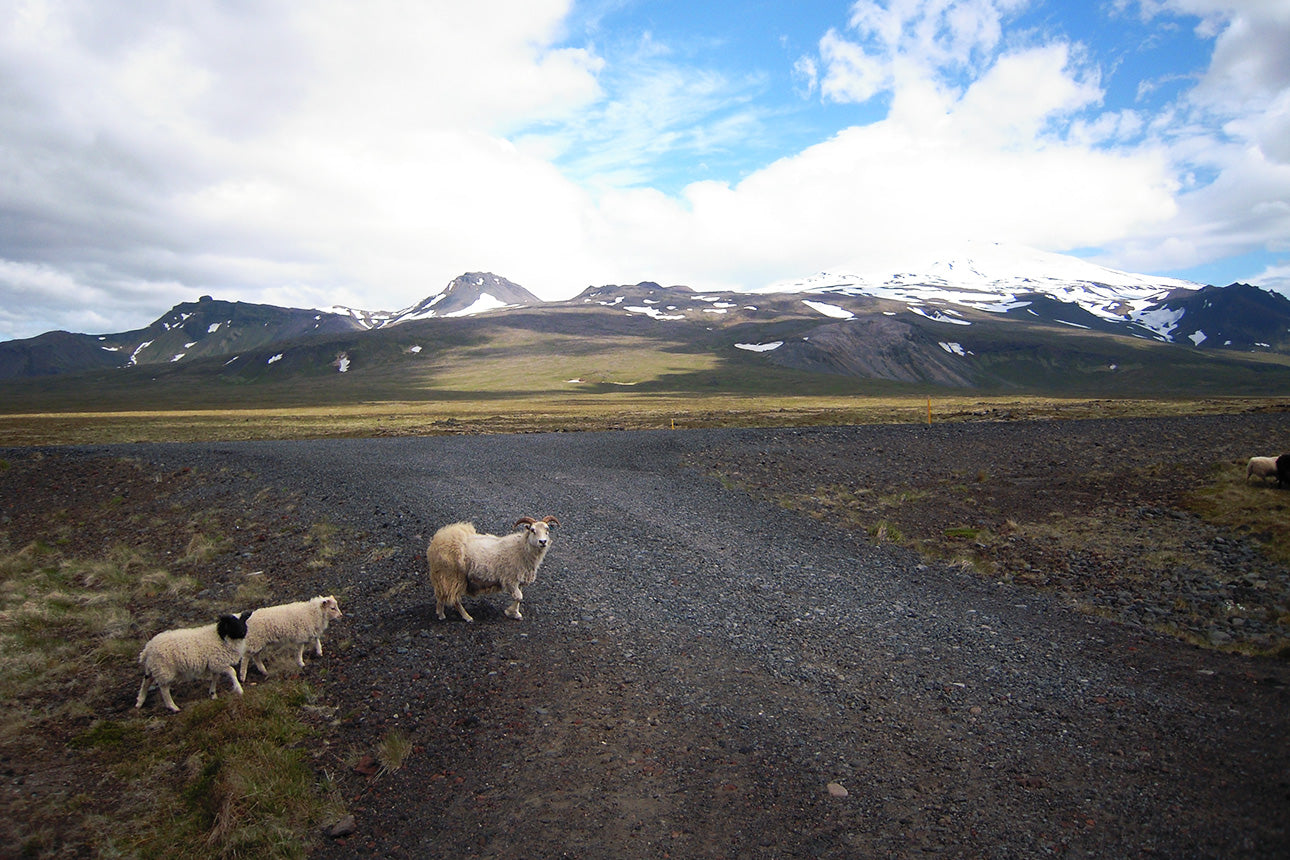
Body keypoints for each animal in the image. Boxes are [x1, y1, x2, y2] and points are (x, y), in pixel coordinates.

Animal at [428, 515, 559, 621]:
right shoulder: (510, 580)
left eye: (547, 530)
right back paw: (466, 617)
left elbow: (519, 597)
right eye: (532, 530)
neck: (521, 548)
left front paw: (513, 612)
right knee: (454, 599)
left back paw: (440, 614)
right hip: (453, 576)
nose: (543, 541)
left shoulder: (519, 579)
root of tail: (437, 541)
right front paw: (512, 613)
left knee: (441, 594)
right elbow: (519, 597)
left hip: (444, 576)